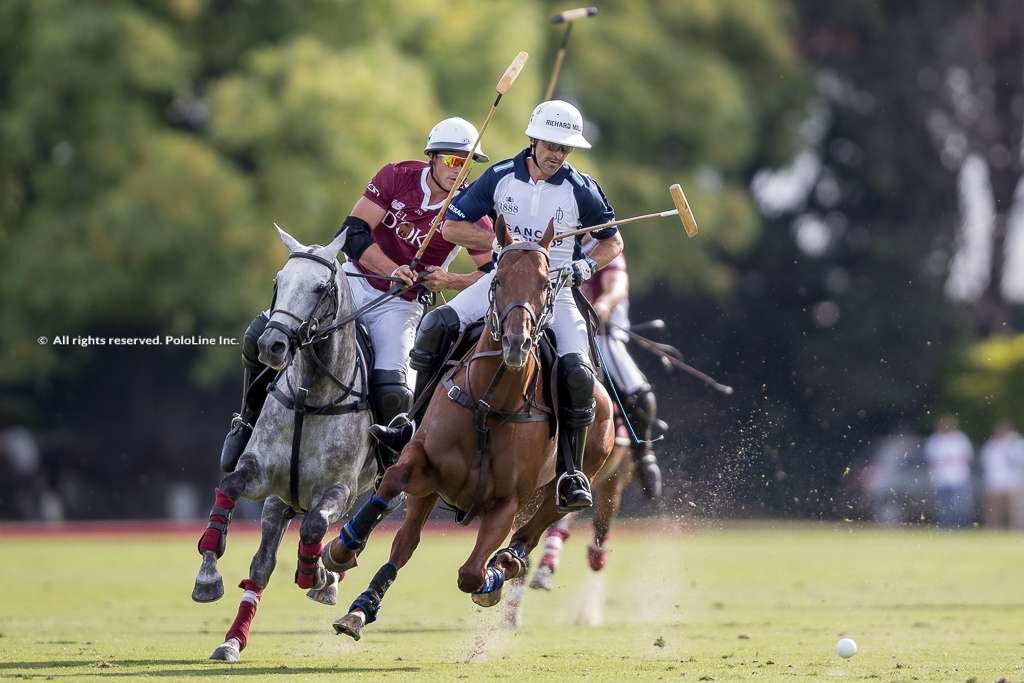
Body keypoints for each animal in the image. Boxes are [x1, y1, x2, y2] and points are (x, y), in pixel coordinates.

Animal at [190, 228, 378, 663]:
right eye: (278, 281)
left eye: (321, 287)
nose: (271, 345)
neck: (312, 394)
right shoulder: (260, 471)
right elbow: (229, 487)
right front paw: (208, 573)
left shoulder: (340, 488)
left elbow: (316, 526)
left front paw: (319, 574)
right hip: (280, 499)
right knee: (262, 564)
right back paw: (231, 640)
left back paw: (327, 576)